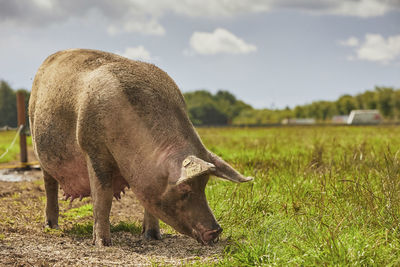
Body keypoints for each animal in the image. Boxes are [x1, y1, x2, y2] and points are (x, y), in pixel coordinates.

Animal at [28, 48, 253, 247]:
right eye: (184, 189)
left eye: (204, 185)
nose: (216, 230)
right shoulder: (93, 148)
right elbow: (103, 199)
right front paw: (103, 244)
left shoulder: (149, 181)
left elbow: (148, 203)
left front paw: (152, 238)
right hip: (37, 143)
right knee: (49, 186)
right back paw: (51, 227)